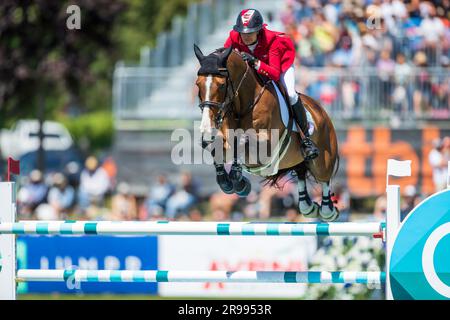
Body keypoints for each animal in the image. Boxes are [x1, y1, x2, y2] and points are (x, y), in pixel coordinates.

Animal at [192, 44, 338, 220]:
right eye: (197, 84)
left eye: (221, 85)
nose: (207, 128)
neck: (242, 105)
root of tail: (320, 110)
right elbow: (218, 146)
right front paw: (230, 183)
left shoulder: (267, 143)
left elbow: (242, 141)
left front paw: (238, 180)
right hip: (296, 159)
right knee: (301, 171)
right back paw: (308, 206)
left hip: (323, 159)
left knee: (324, 179)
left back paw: (328, 210)